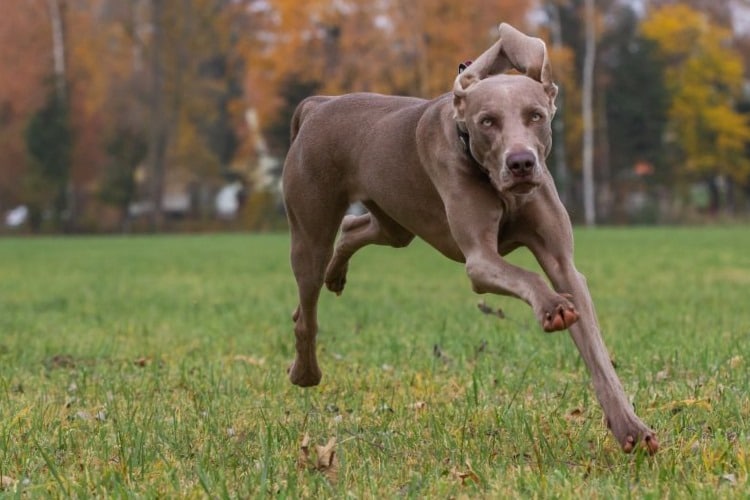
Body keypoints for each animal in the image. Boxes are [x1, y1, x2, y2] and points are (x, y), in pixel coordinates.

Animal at [280, 22, 656, 454]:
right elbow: (526, 276)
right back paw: (305, 371)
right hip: (310, 226)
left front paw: (631, 427)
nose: (521, 163)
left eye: (535, 116)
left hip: (395, 219)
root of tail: (318, 105)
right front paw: (552, 306)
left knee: (354, 229)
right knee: (306, 308)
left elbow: (595, 350)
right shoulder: (480, 259)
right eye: (486, 121)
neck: (496, 183)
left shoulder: (564, 264)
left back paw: (336, 275)